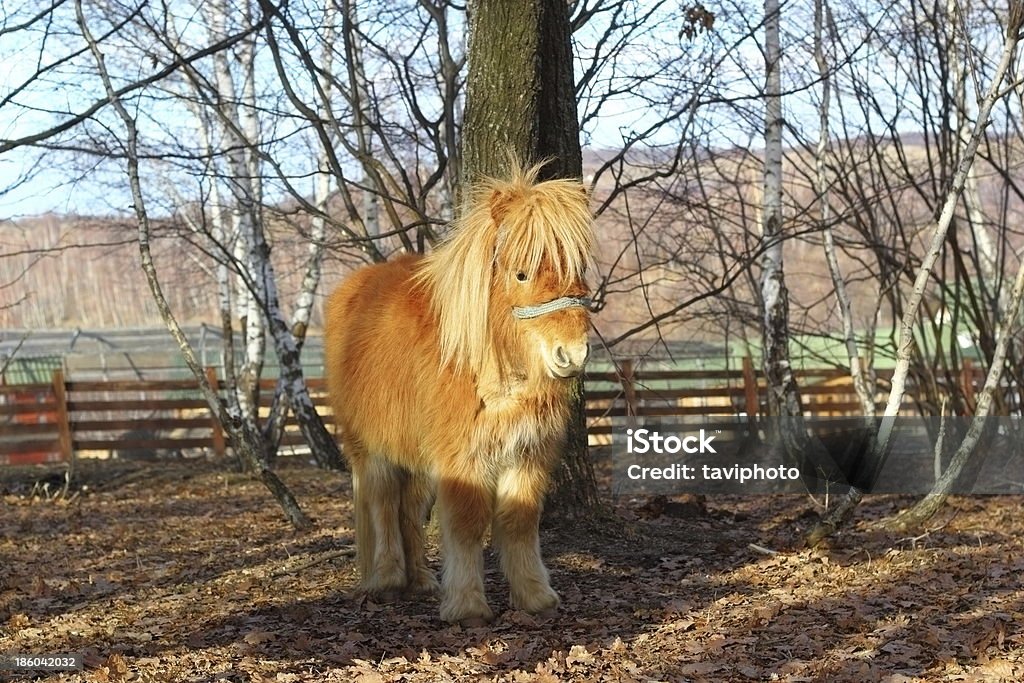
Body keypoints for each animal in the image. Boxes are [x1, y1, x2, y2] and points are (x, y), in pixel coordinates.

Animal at [319, 163, 593, 626]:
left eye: (579, 269)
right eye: (521, 274)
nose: (571, 354)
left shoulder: (526, 454)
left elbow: (520, 520)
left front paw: (535, 596)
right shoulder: (462, 457)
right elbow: (467, 522)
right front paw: (467, 605)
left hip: (416, 456)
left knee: (409, 509)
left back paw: (421, 580)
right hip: (370, 448)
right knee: (382, 503)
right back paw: (387, 580)